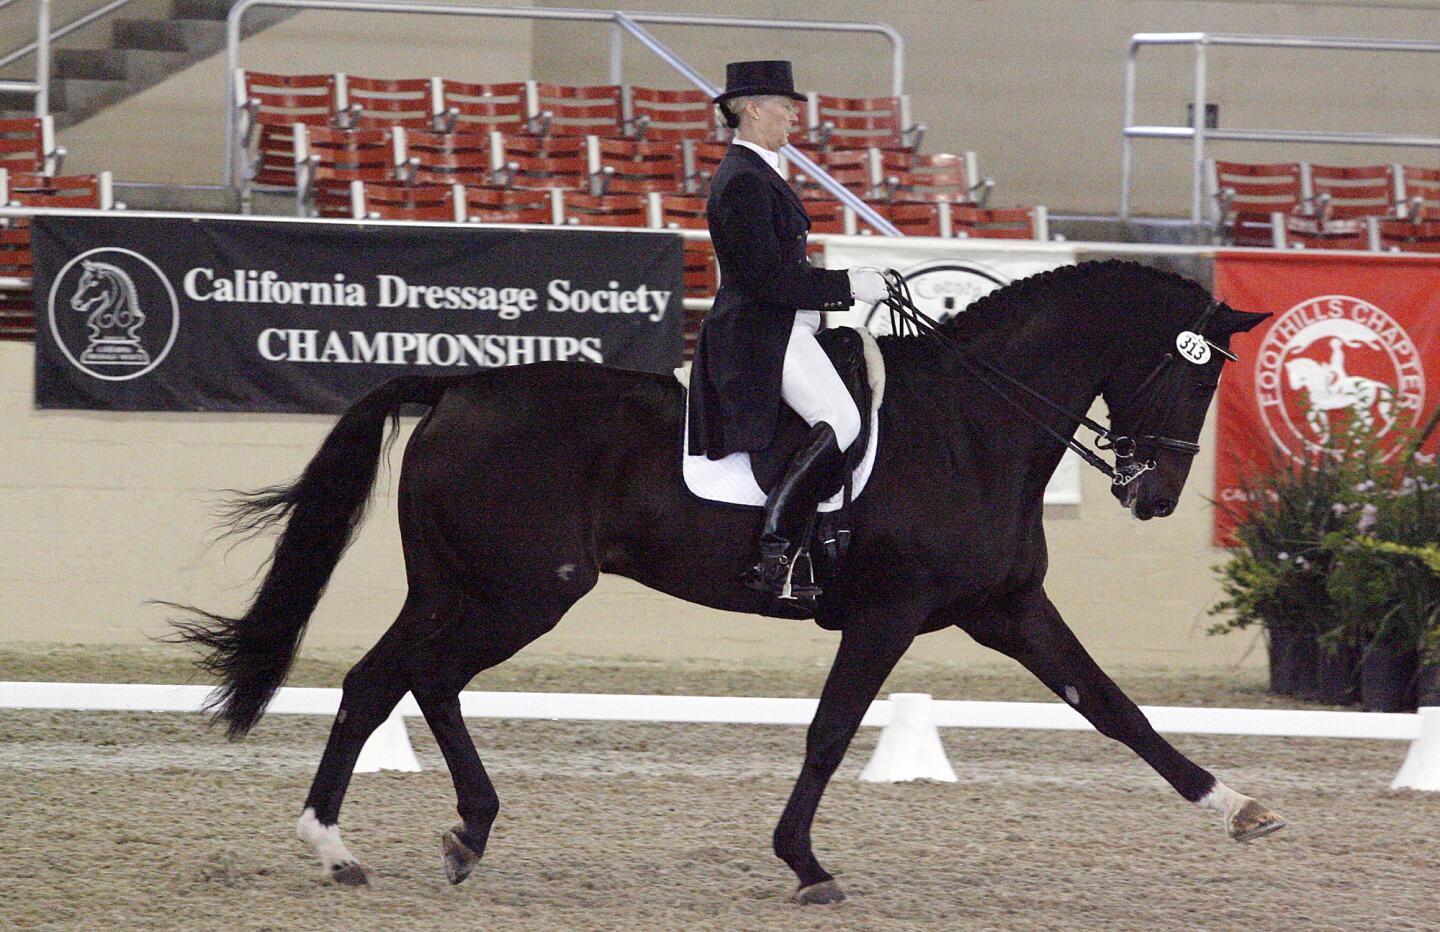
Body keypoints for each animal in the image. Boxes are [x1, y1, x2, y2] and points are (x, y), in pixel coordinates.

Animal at [171, 259, 1284, 898]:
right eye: (1192, 373)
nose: (1154, 493)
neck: (975, 425)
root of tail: (459, 386)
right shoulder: (890, 611)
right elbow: (831, 730)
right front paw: (805, 861)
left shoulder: (1006, 606)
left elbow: (1113, 706)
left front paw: (1237, 807)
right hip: (520, 590)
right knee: (401, 680)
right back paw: (359, 844)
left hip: (467, 586)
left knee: (399, 680)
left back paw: (424, 838)